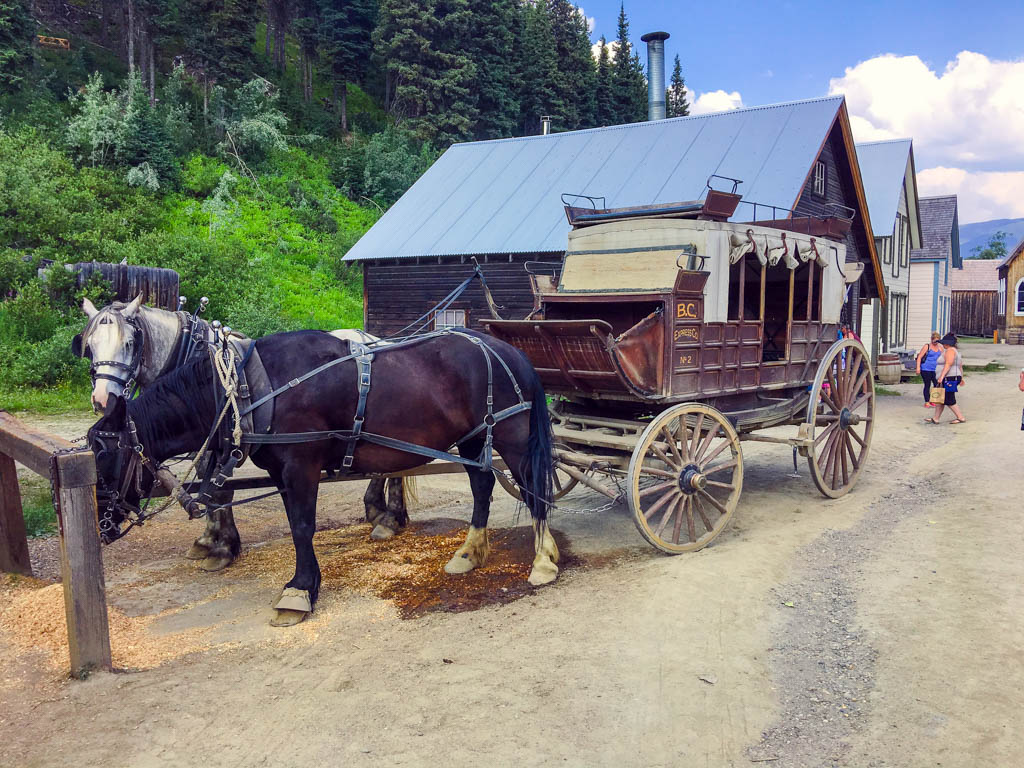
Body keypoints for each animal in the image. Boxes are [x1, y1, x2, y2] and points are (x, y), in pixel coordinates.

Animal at [86, 329, 561, 626]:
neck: (250, 387)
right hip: (475, 437)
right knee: (482, 486)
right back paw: (470, 552)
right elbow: (298, 526)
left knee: (532, 488)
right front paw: (305, 585)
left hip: (511, 435)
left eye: (103, 452)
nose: (101, 526)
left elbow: (301, 527)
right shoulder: (282, 471)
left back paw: (542, 560)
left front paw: (299, 591)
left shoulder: (301, 465)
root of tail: (508, 351)